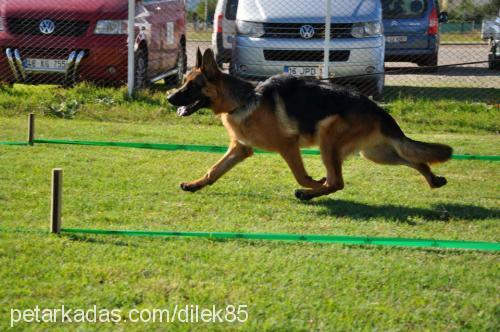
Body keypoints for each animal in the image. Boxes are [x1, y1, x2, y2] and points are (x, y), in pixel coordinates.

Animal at [168, 48, 454, 200]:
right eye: (183, 82)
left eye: (191, 86)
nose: (169, 98)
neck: (244, 99)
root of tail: (377, 109)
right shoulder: (240, 149)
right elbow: (214, 170)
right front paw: (195, 184)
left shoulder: (288, 145)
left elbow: (302, 176)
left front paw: (313, 184)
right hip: (375, 153)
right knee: (415, 160)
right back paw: (433, 179)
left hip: (329, 140)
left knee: (337, 182)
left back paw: (309, 194)